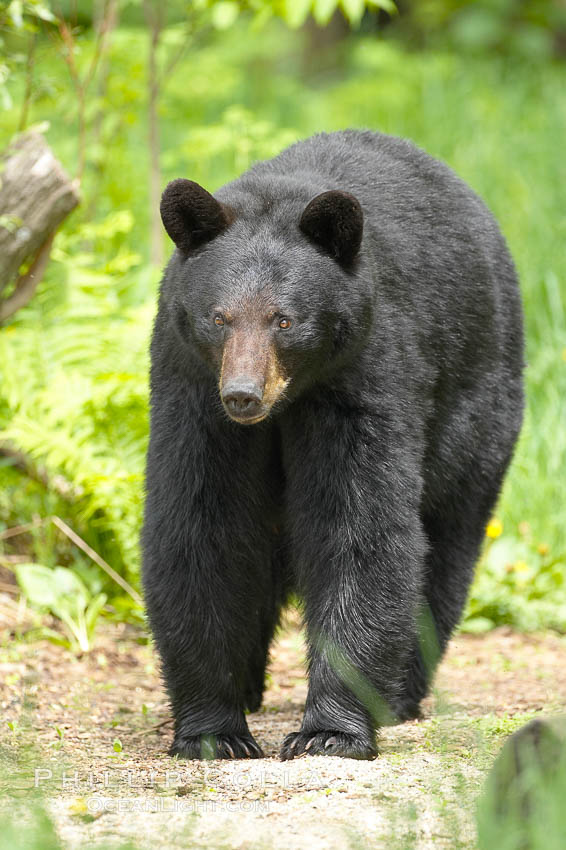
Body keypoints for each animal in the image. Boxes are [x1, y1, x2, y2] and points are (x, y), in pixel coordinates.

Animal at [144, 129, 524, 760]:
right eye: (219, 317)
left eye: (284, 320)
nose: (243, 394)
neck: (288, 403)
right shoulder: (192, 391)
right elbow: (201, 525)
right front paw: (213, 731)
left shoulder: (362, 381)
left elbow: (358, 528)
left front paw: (330, 731)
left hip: (476, 406)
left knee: (447, 538)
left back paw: (400, 694)